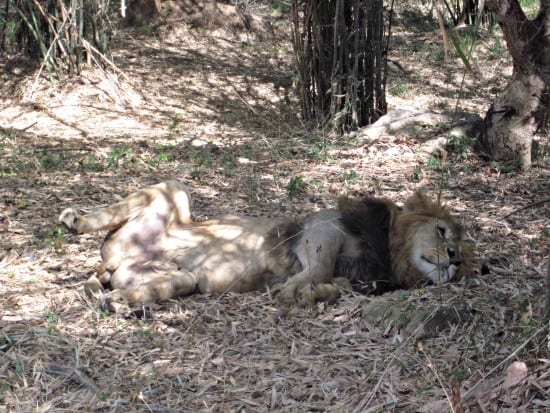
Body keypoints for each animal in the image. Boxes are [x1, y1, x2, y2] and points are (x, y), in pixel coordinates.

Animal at [59, 179, 474, 310]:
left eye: (467, 263)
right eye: (443, 232)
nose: (454, 259)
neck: (391, 254)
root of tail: (113, 263)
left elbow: (335, 285)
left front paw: (314, 293)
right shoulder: (323, 228)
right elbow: (318, 265)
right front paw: (295, 290)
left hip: (182, 278)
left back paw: (120, 301)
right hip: (174, 191)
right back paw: (74, 219)